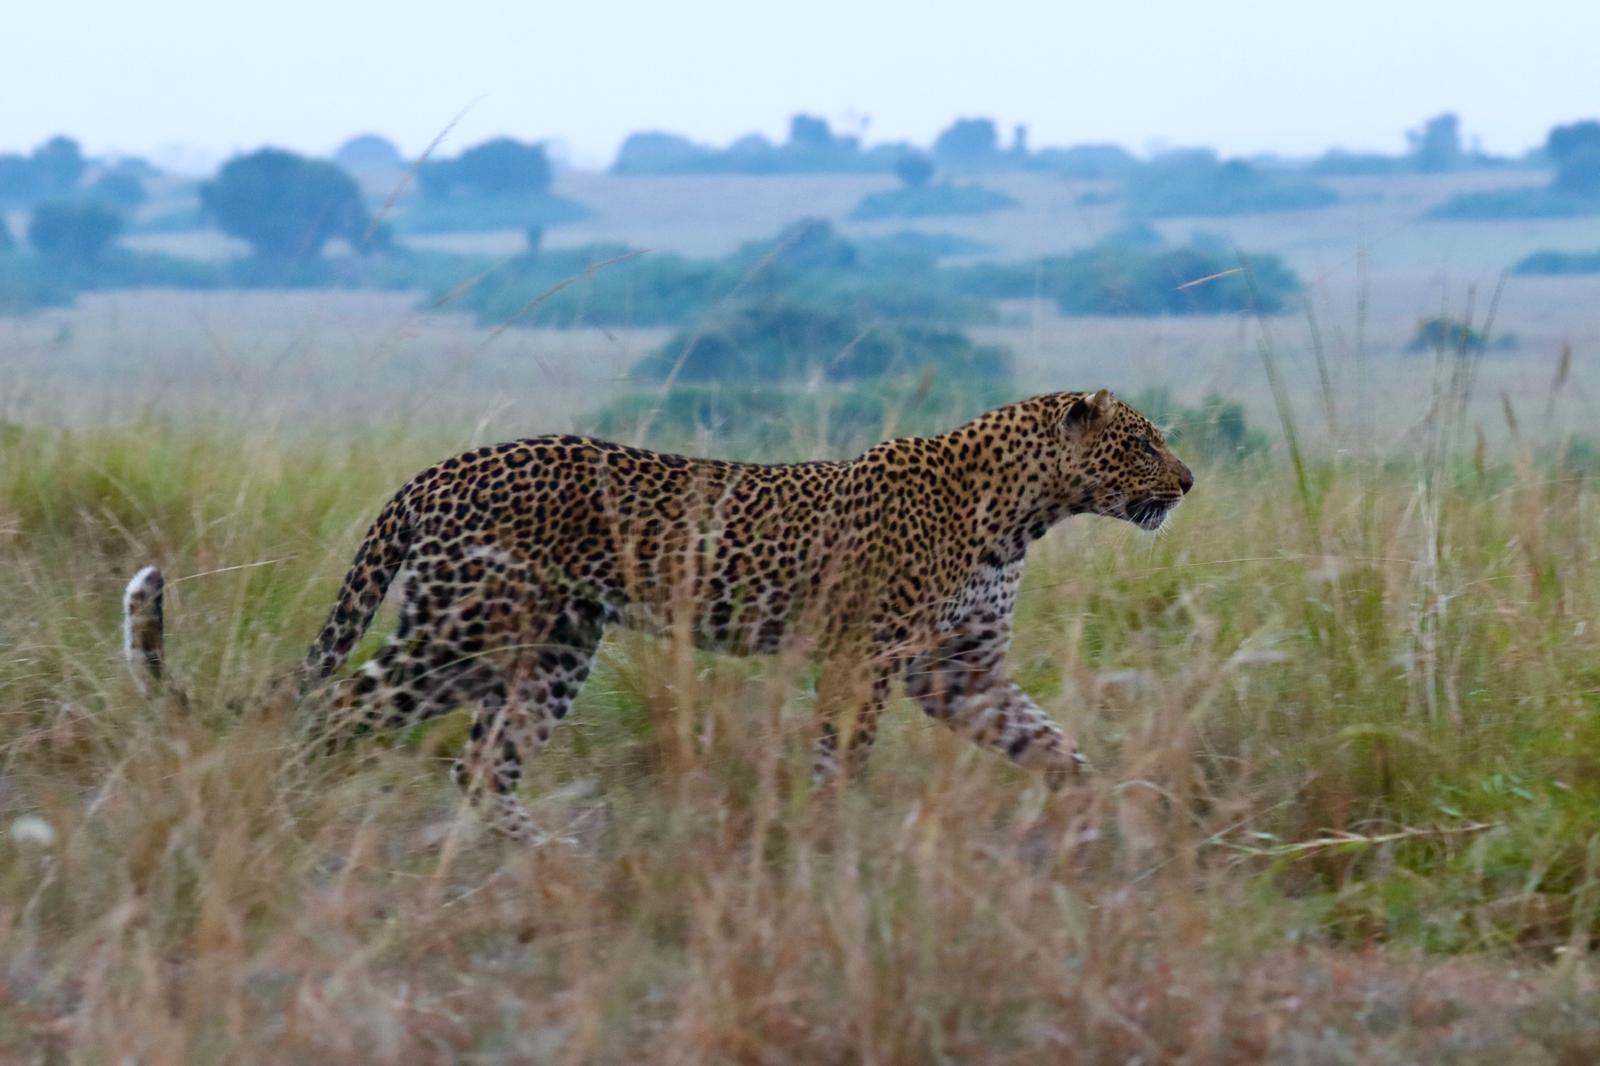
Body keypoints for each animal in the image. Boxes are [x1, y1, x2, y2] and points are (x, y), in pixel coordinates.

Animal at [124, 389, 1193, 840]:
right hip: (466, 632)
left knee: (479, 763)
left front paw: (1110, 821)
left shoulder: (959, 671)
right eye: (1144, 443)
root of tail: (437, 470)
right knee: (336, 711)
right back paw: (285, 815)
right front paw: (832, 844)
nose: (1187, 481)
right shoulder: (867, 655)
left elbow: (1052, 745)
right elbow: (841, 756)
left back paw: (545, 861)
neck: (1026, 510)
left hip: (548, 651)